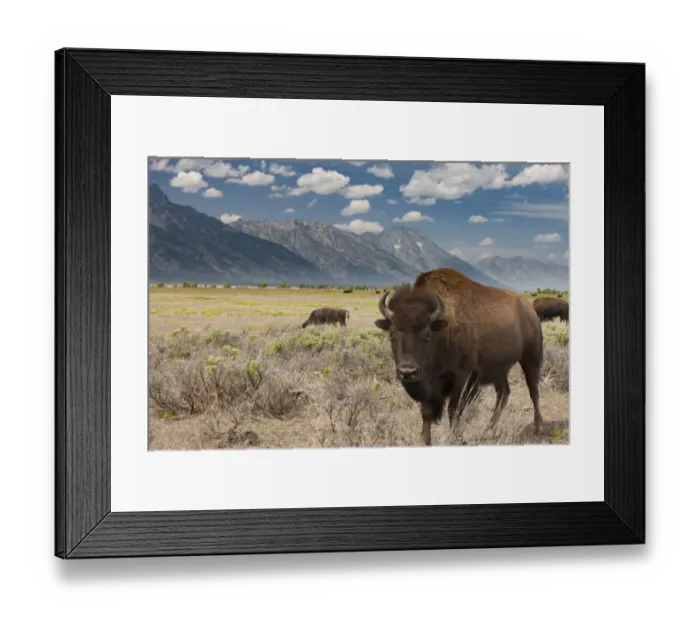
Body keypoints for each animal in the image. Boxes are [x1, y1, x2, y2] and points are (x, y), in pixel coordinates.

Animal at [375, 268, 544, 446]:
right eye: (392, 334)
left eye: (427, 335)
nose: (407, 372)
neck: (442, 331)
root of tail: (530, 310)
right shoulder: (428, 386)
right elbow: (426, 413)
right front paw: (425, 441)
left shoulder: (461, 376)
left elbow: (454, 408)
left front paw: (456, 437)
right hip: (498, 370)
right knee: (503, 393)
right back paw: (489, 430)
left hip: (531, 358)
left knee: (533, 390)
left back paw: (538, 427)